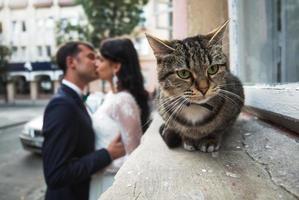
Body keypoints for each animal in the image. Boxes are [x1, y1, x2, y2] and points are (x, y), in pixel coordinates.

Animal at [146, 20, 245, 152]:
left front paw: (210, 139)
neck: (196, 107)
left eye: (213, 69)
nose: (204, 88)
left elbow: (220, 128)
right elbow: (181, 130)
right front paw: (187, 139)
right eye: (184, 73)